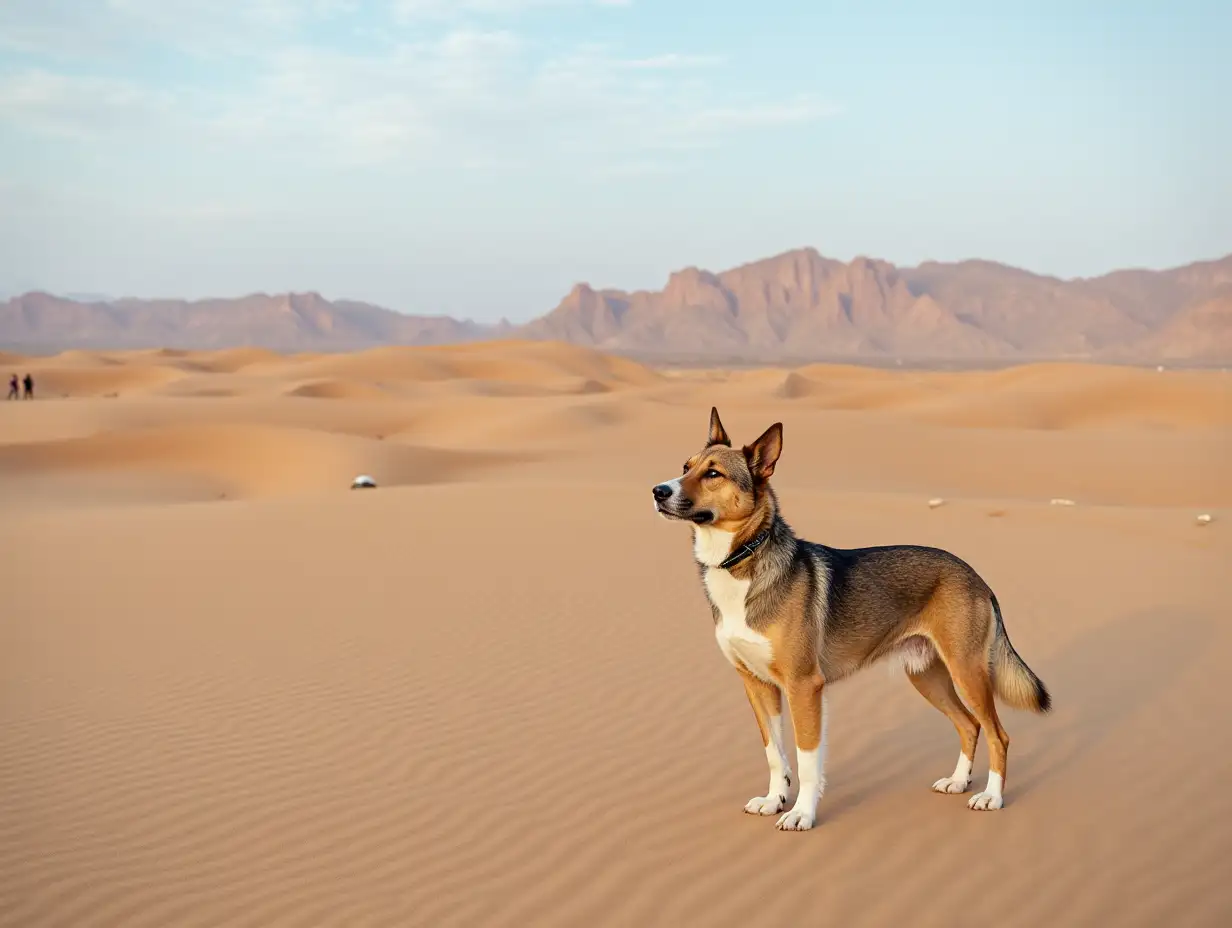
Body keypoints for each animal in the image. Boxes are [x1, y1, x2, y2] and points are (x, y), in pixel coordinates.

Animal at [655, 409, 1049, 828]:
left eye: (714, 473)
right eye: (685, 467)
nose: (658, 491)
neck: (742, 563)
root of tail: (976, 576)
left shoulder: (804, 686)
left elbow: (807, 761)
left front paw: (801, 813)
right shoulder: (756, 685)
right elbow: (775, 754)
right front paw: (774, 799)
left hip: (967, 670)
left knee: (996, 733)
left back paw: (991, 796)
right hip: (927, 675)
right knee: (969, 724)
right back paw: (958, 782)